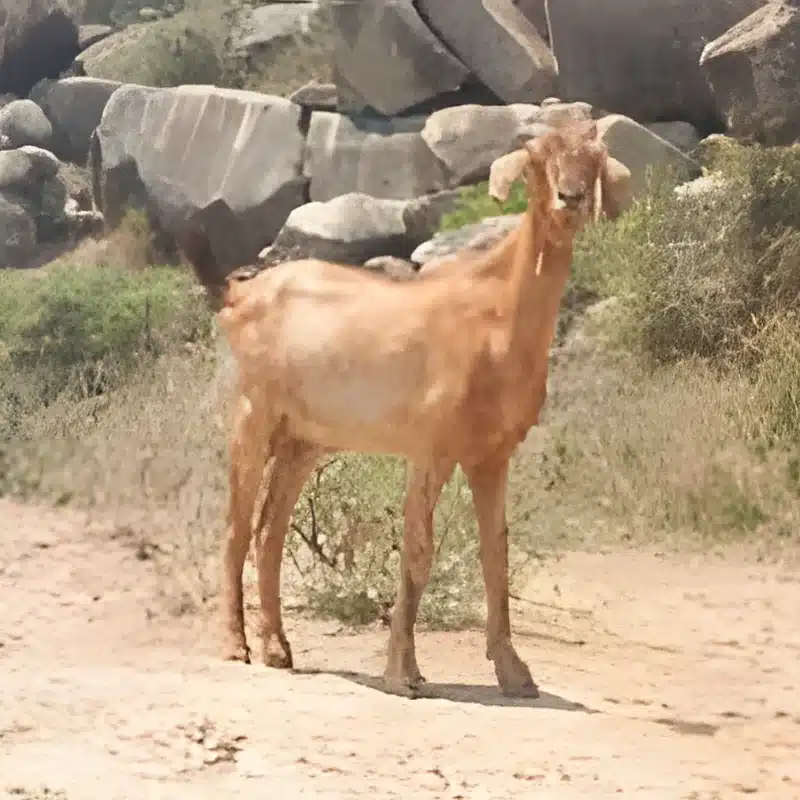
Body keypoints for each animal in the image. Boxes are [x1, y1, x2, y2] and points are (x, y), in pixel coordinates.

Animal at [178, 119, 632, 698]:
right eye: (535, 157)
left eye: (593, 157)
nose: (569, 199)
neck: (497, 317)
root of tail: (239, 293)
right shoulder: (431, 451)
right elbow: (418, 550)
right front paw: (403, 671)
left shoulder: (491, 457)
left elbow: (497, 555)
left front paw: (514, 671)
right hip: (251, 416)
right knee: (236, 529)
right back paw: (235, 645)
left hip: (303, 442)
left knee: (270, 533)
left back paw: (278, 648)